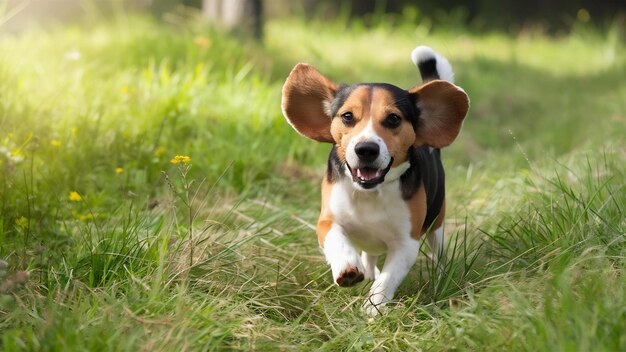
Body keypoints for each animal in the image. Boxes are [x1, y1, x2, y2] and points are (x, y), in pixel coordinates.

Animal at [280, 46, 466, 314]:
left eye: (394, 119)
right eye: (347, 116)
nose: (366, 149)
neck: (369, 192)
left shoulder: (406, 243)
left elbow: (387, 280)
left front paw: (373, 307)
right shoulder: (326, 221)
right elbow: (337, 238)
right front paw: (347, 267)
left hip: (437, 222)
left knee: (439, 253)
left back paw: (441, 278)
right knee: (368, 255)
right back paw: (367, 272)